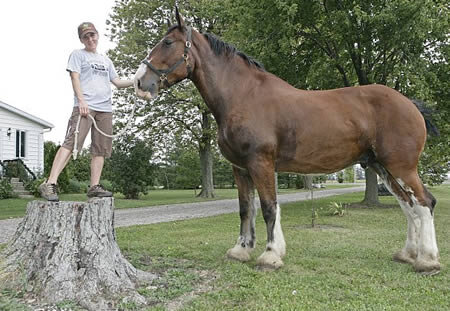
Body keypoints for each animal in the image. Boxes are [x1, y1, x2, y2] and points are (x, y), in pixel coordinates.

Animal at [134, 7, 440, 276]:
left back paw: (427, 261)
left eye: (167, 42)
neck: (243, 96)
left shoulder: (261, 163)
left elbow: (269, 208)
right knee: (409, 206)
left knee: (424, 202)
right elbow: (246, 209)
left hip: (401, 167)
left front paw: (270, 256)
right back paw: (407, 254)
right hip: (382, 167)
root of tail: (411, 105)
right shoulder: (240, 168)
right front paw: (241, 250)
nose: (140, 82)